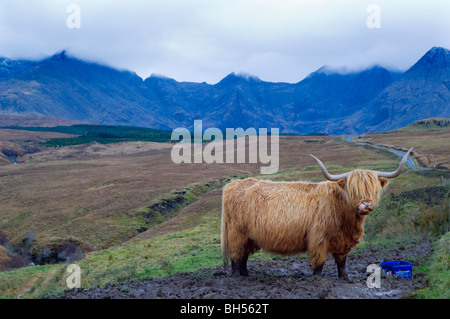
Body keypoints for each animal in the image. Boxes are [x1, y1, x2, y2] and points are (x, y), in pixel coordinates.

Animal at [220, 149, 414, 282]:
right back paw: (237, 278)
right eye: (353, 189)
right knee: (236, 256)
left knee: (243, 257)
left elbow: (342, 261)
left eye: (373, 188)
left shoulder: (342, 240)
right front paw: (318, 279)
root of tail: (233, 184)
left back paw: (247, 275)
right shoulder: (318, 238)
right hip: (237, 233)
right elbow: (319, 260)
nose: (366, 204)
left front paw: (345, 278)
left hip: (249, 237)